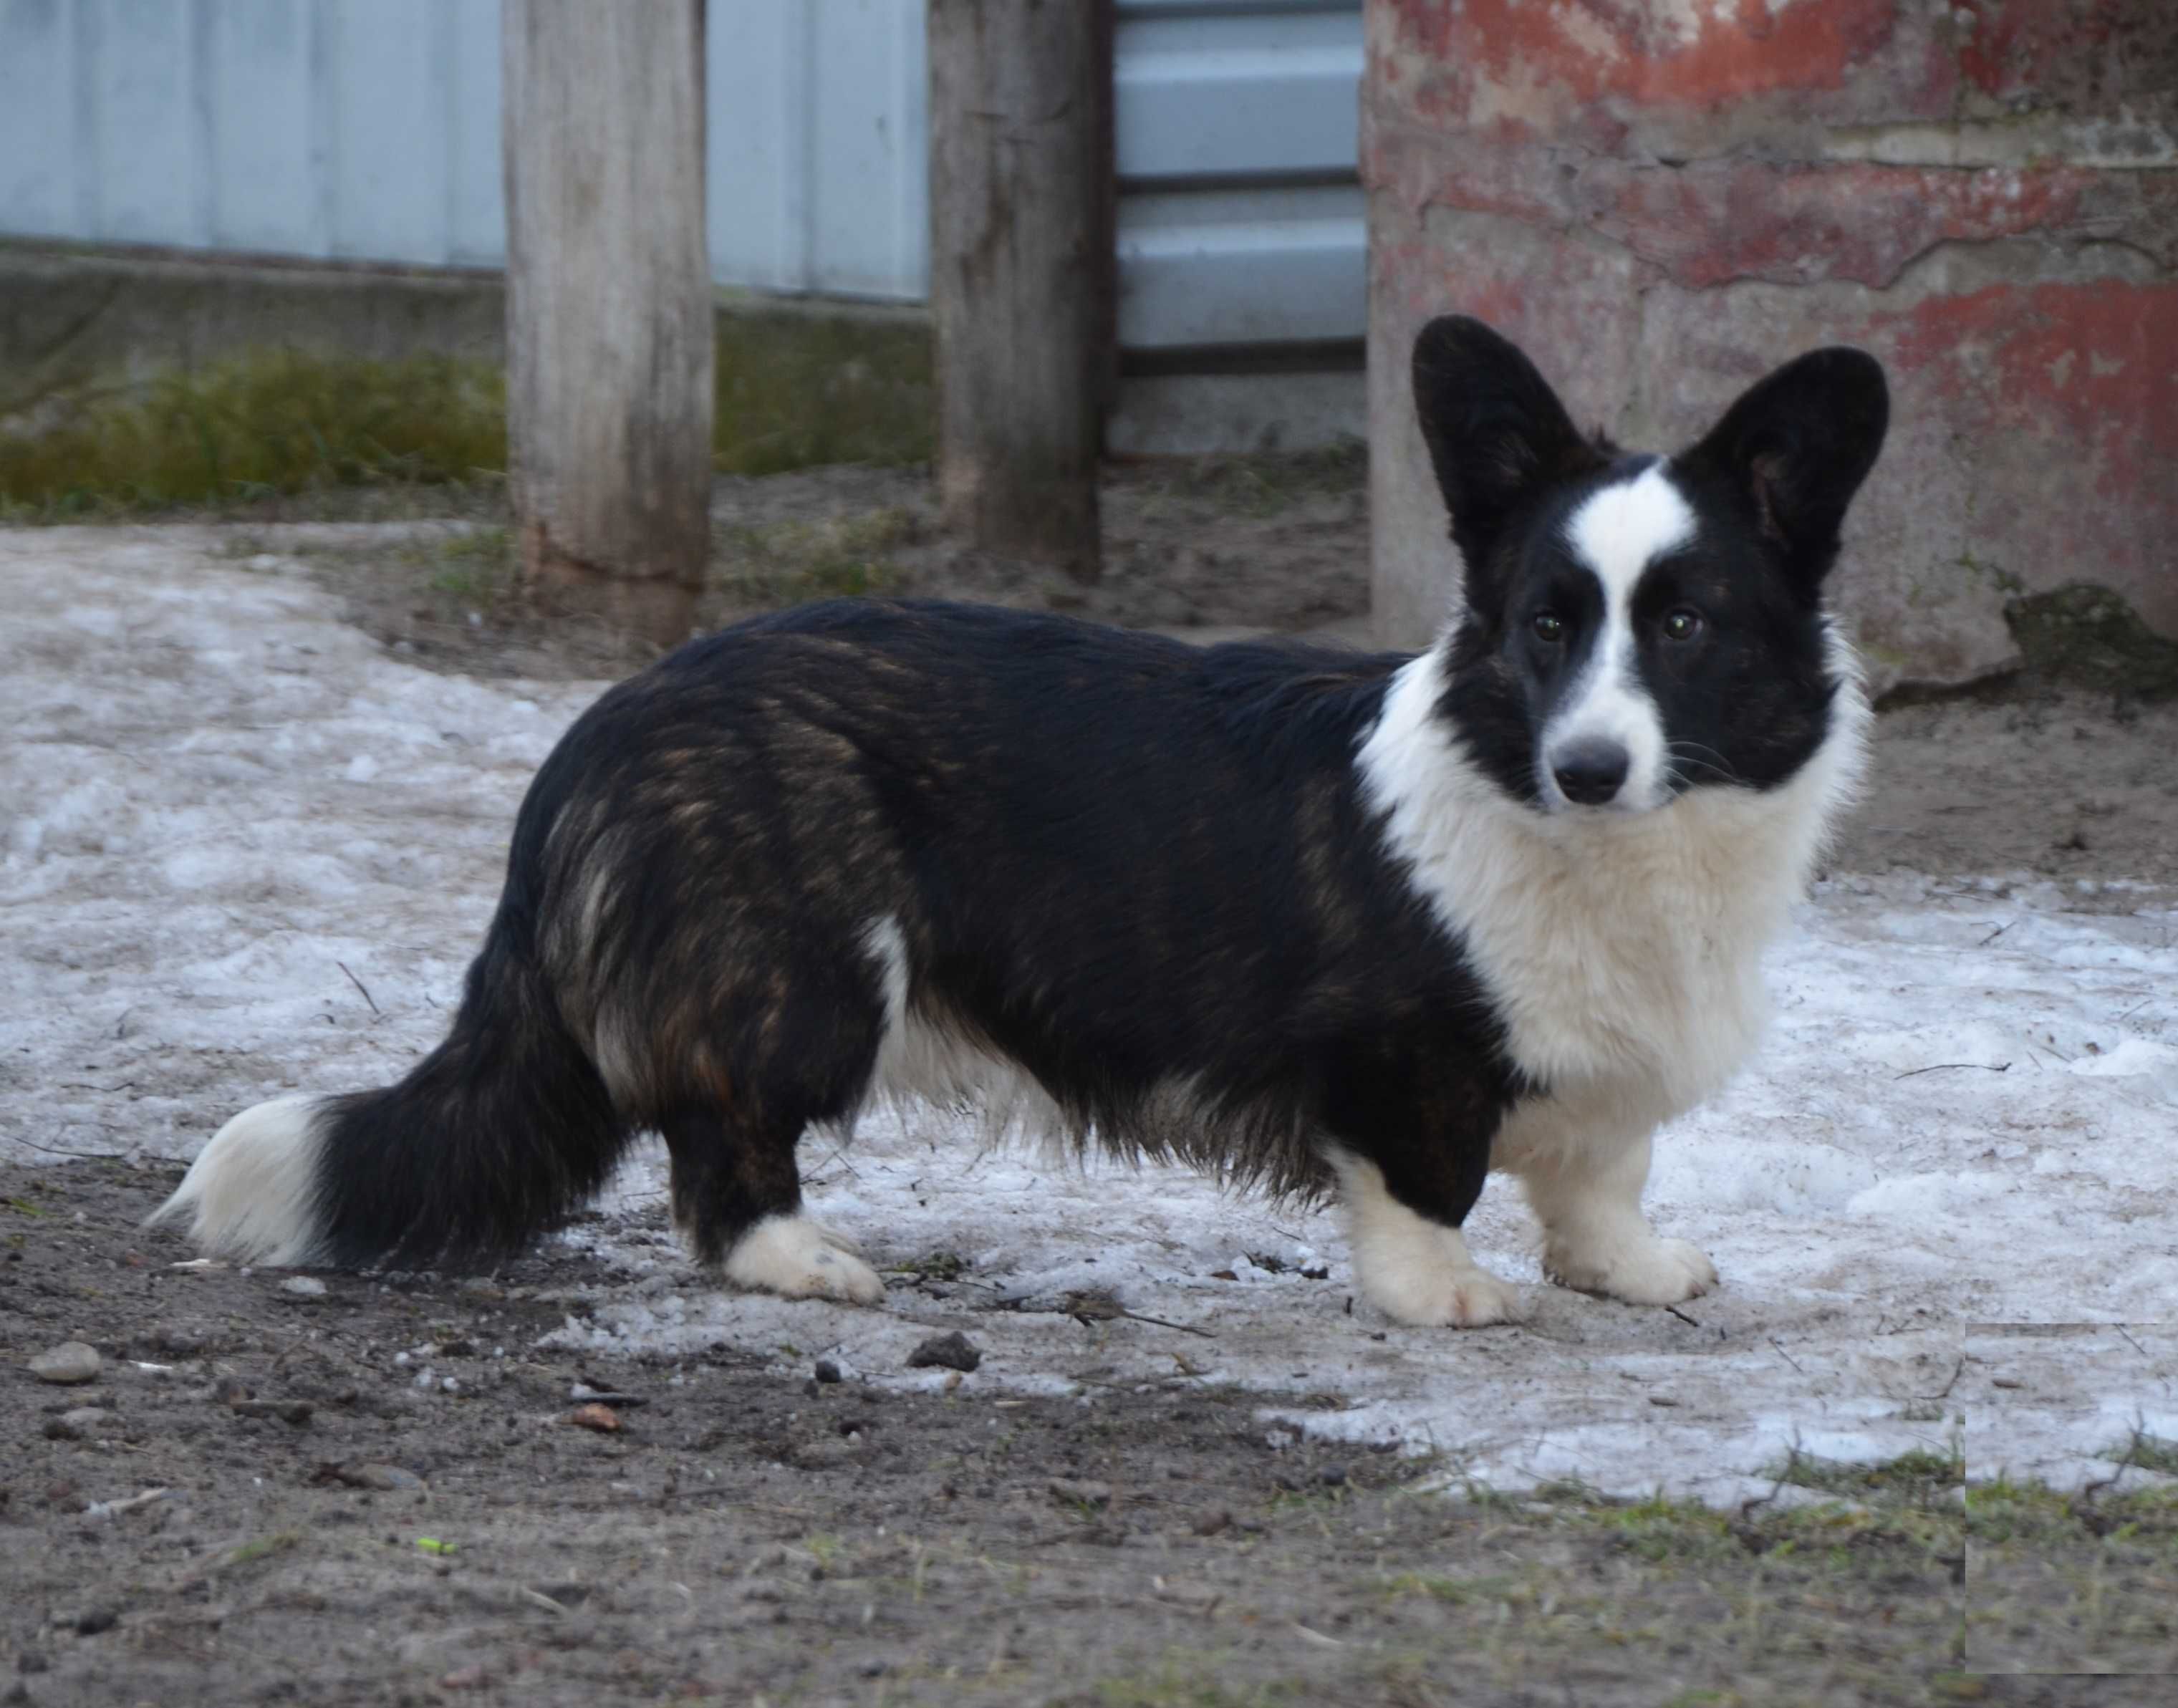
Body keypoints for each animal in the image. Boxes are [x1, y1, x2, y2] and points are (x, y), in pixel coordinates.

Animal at [158, 324, 1890, 1333]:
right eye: (1544, 624)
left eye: (1682, 626)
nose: (1586, 766)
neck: (1613, 855)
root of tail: (600, 731)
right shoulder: (1403, 1067)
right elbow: (1425, 1186)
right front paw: (1442, 1296)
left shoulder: (1603, 1089)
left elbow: (1599, 1177)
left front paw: (1630, 1270)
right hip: (815, 976)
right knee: (721, 1153)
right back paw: (807, 1265)